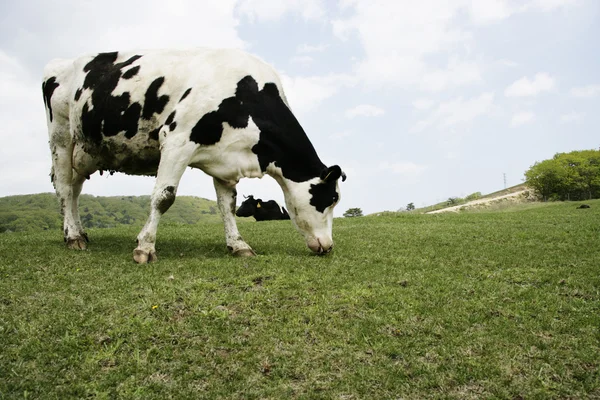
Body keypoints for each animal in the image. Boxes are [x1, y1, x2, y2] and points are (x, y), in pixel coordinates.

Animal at [42, 47, 344, 262]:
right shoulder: (177, 139)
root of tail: (60, 63)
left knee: (75, 189)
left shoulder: (227, 161)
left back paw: (79, 231)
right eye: (330, 200)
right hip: (61, 136)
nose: (329, 246)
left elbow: (227, 206)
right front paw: (145, 247)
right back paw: (72, 237)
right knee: (65, 187)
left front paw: (238, 245)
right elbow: (164, 197)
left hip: (85, 151)